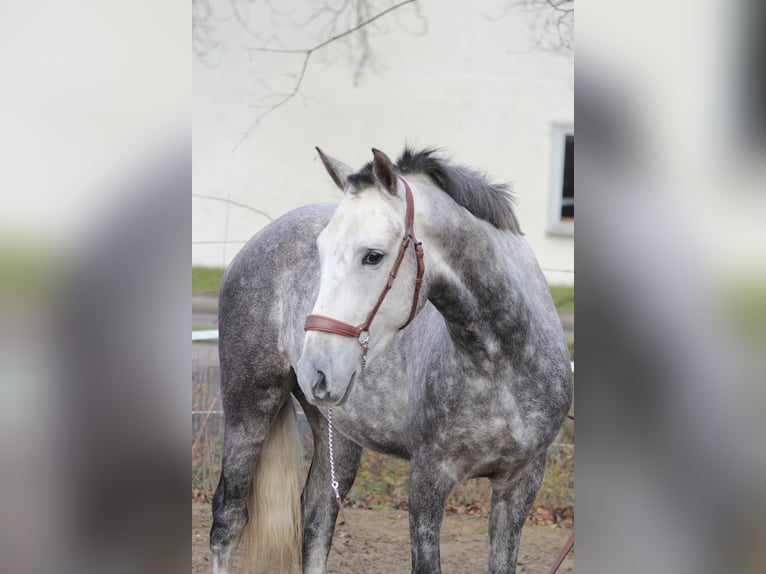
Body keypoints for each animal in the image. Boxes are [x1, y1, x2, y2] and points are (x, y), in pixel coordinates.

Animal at [210, 148, 568, 574]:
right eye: (321, 252)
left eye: (373, 256)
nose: (315, 367)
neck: (500, 365)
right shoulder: (428, 480)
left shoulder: (520, 483)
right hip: (248, 410)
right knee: (228, 520)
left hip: (338, 439)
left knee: (316, 522)